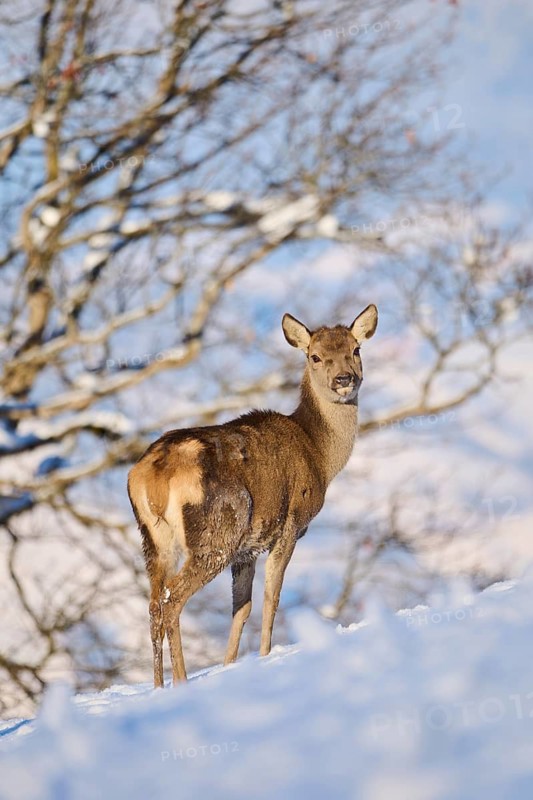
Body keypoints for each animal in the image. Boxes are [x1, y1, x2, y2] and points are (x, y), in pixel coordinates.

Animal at [127, 304, 378, 687]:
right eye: (315, 356)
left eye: (356, 349)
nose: (344, 379)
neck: (319, 455)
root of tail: (151, 476)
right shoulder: (290, 523)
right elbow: (271, 598)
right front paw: (264, 656)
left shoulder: (248, 548)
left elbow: (241, 608)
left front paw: (230, 664)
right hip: (218, 529)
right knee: (173, 598)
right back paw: (181, 681)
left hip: (154, 541)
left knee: (154, 603)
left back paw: (158, 687)